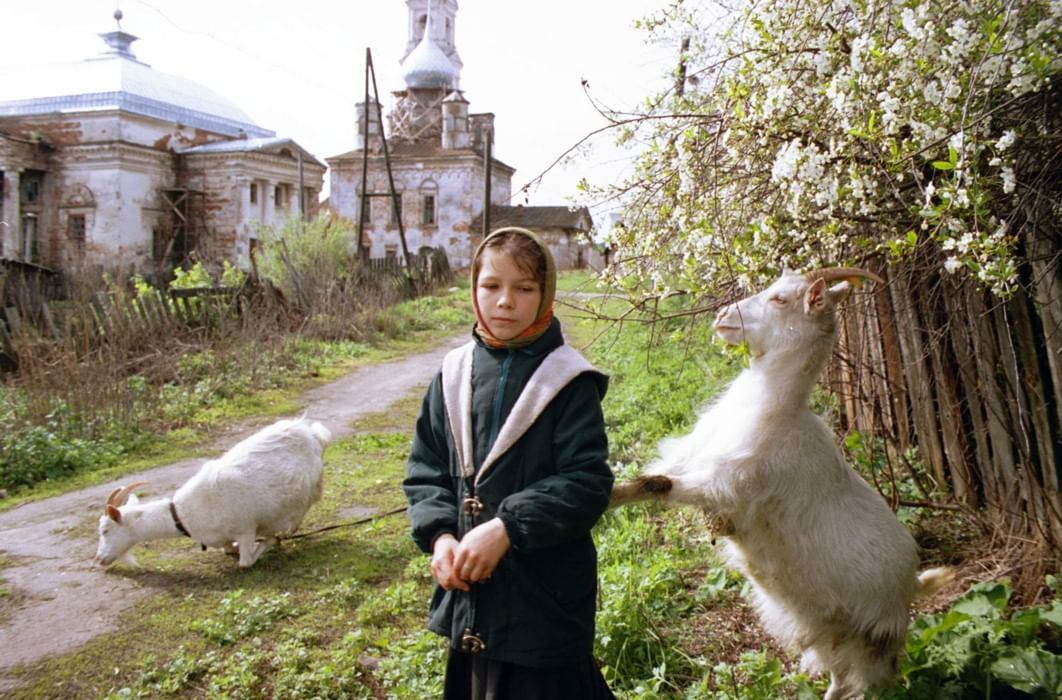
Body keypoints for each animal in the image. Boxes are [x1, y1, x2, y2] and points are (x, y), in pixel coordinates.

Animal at [99, 416, 333, 569]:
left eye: (105, 530)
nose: (99, 559)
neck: (184, 514)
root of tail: (311, 432)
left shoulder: (245, 528)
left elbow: (246, 562)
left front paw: (272, 539)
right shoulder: (222, 537)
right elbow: (229, 550)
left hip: (311, 485)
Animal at [615, 268, 955, 700]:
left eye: (780, 299)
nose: (723, 315)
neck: (773, 410)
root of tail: (913, 584)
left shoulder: (724, 486)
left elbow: (652, 485)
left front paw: (606, 497)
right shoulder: (692, 457)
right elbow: (652, 474)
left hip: (870, 643)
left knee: (862, 687)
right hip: (826, 629)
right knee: (839, 682)